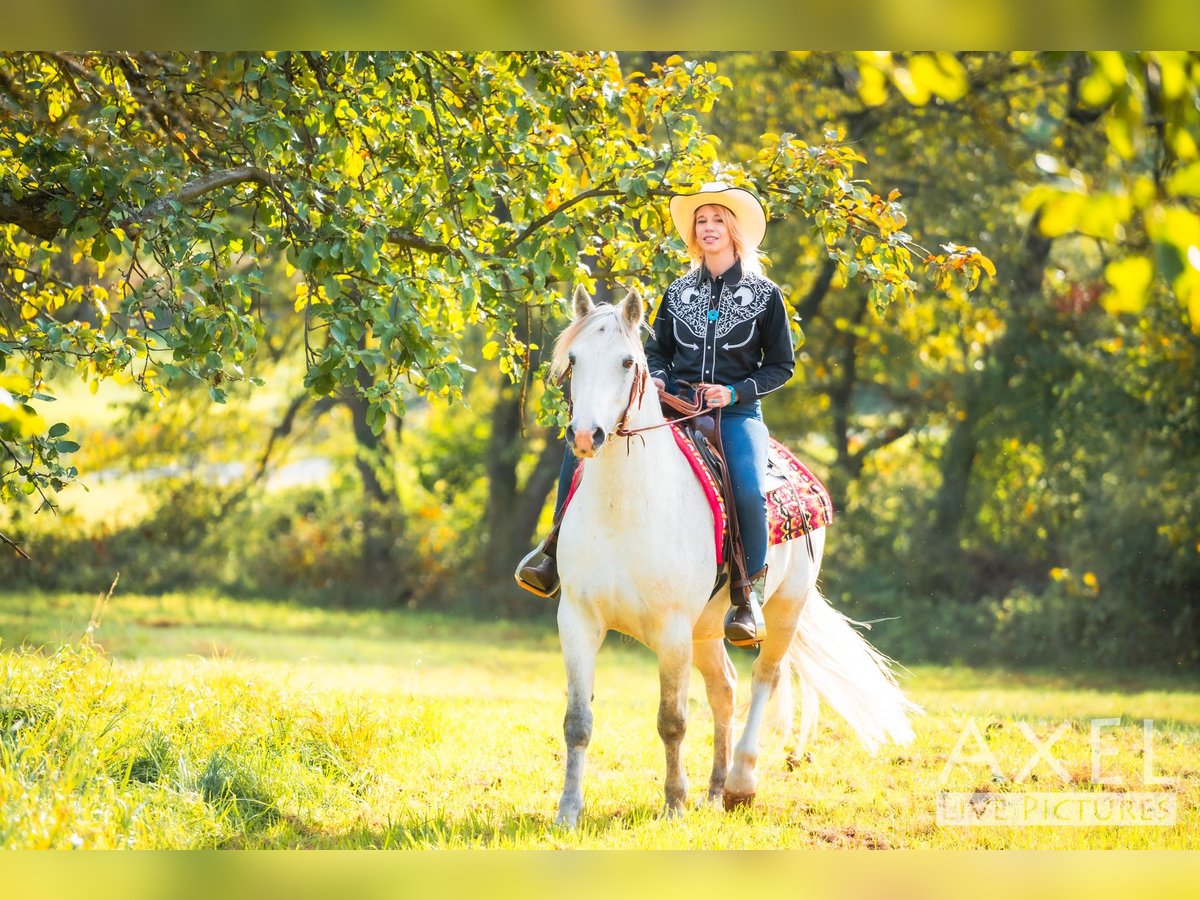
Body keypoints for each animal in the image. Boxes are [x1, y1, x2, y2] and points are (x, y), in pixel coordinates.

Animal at [548, 285, 919, 827]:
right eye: (573, 359)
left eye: (626, 361)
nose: (584, 436)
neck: (626, 508)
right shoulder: (578, 620)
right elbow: (578, 721)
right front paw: (569, 812)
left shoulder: (672, 630)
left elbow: (672, 720)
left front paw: (673, 805)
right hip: (706, 629)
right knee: (724, 687)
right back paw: (716, 789)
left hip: (783, 610)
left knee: (765, 677)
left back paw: (741, 784)